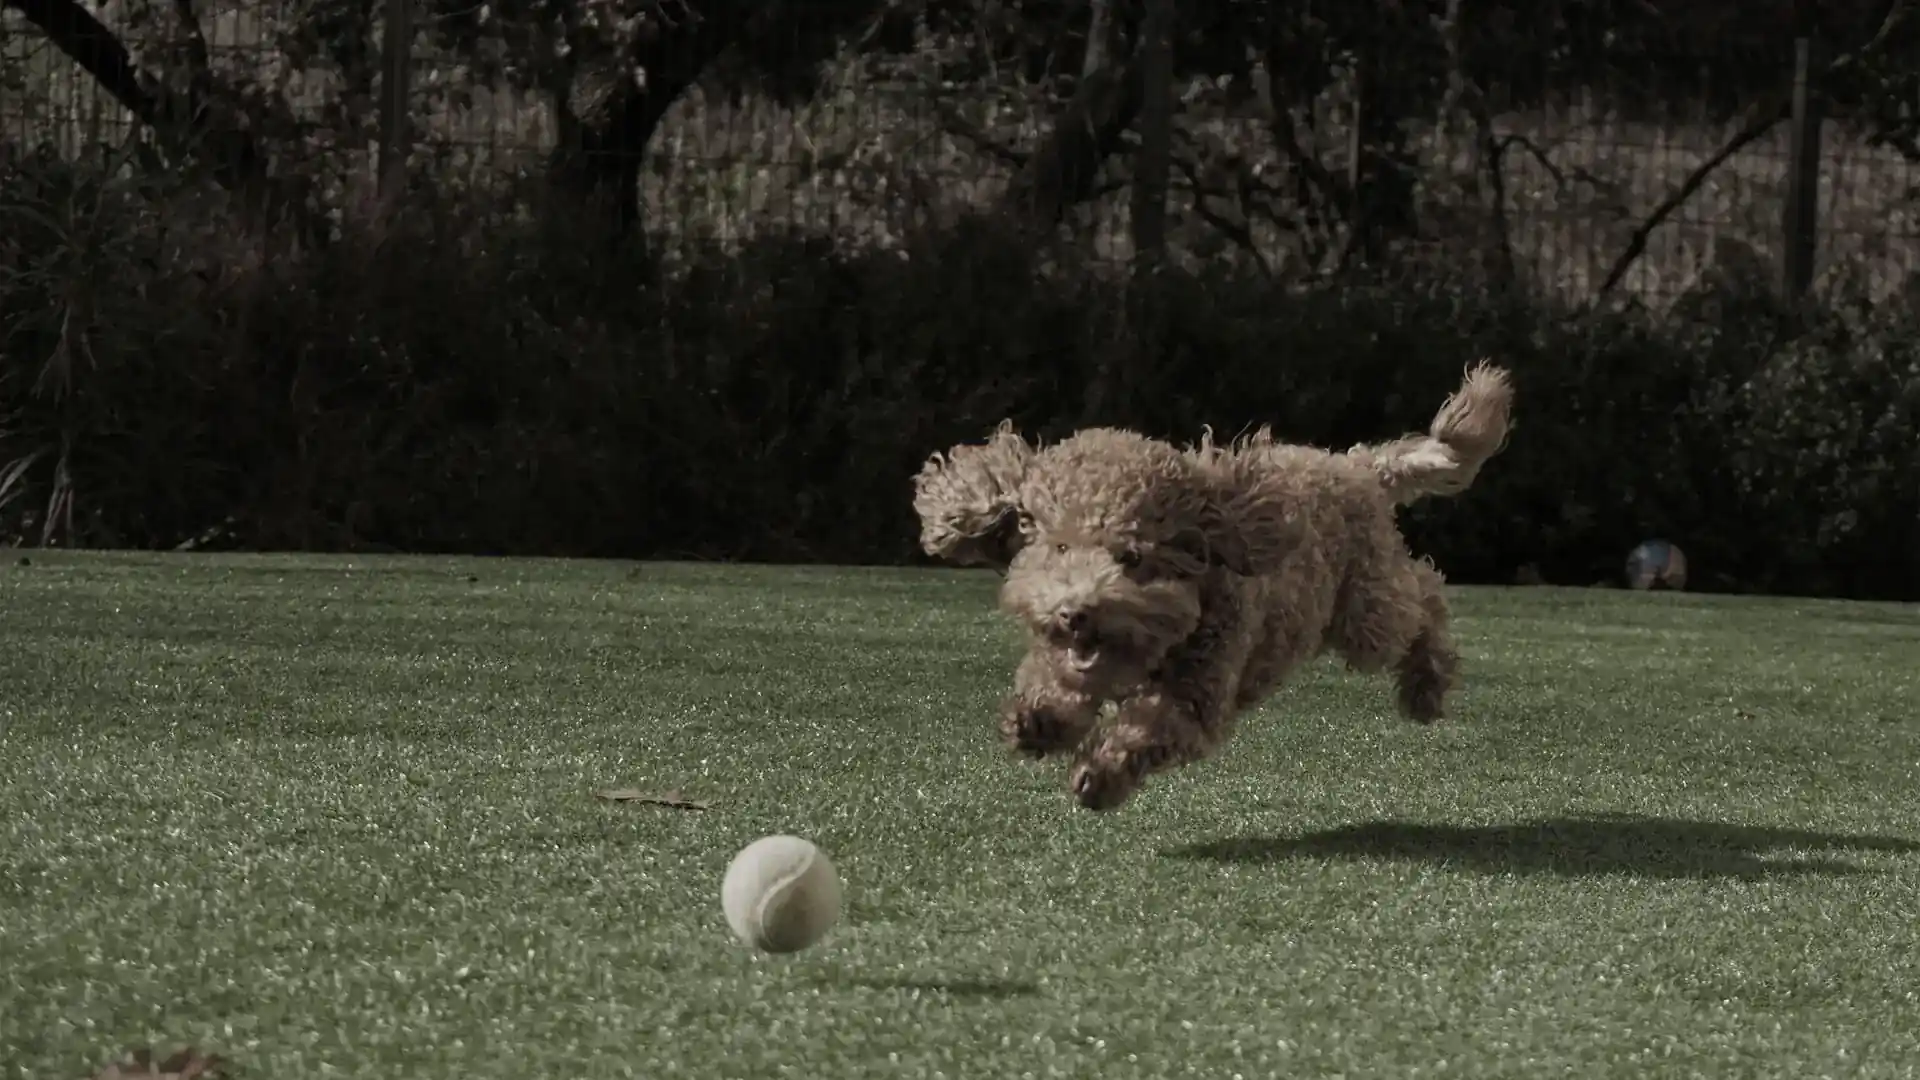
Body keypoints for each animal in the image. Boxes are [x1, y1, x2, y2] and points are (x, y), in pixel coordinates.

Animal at [913, 361, 1512, 807]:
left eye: (1133, 557)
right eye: (1059, 547)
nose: (1074, 613)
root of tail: (1359, 466)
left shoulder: (1199, 692)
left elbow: (1147, 729)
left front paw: (1099, 776)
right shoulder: (1069, 657)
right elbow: (1053, 680)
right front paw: (1037, 720)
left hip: (1366, 611)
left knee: (1423, 596)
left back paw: (1426, 685)